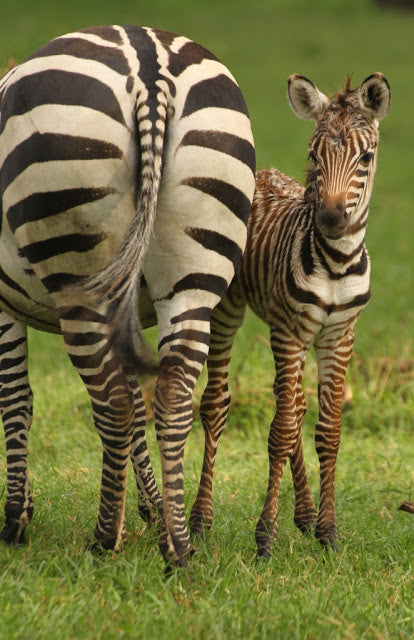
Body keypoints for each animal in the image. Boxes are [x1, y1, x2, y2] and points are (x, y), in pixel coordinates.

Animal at [0, 25, 256, 568]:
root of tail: (148, 64)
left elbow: (15, 398)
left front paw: (15, 518)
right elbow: (141, 405)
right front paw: (153, 507)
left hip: (80, 272)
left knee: (113, 402)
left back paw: (103, 538)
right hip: (195, 274)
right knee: (172, 396)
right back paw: (177, 545)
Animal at [189, 72, 390, 556]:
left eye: (367, 156)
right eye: (314, 155)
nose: (332, 219)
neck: (335, 264)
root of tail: (261, 172)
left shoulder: (339, 336)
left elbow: (328, 431)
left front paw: (327, 531)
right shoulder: (290, 333)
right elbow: (278, 431)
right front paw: (265, 535)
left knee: (294, 404)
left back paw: (304, 515)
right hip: (230, 310)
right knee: (217, 404)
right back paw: (201, 520)